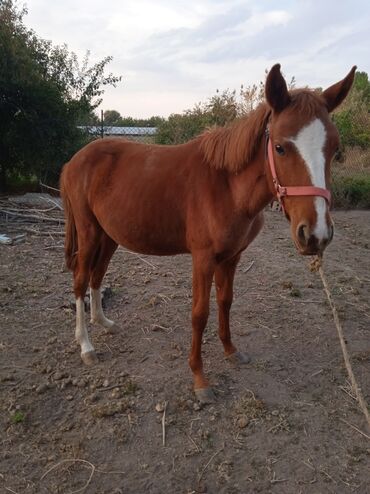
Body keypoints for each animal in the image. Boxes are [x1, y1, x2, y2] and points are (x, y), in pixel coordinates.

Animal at [60, 63, 356, 404]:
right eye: (280, 147)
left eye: (334, 149)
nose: (316, 234)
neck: (227, 186)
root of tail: (75, 160)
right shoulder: (202, 259)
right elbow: (199, 313)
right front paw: (200, 379)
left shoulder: (232, 257)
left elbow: (225, 301)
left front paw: (231, 351)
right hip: (88, 233)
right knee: (81, 280)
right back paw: (86, 345)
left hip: (109, 236)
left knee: (97, 276)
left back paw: (104, 323)